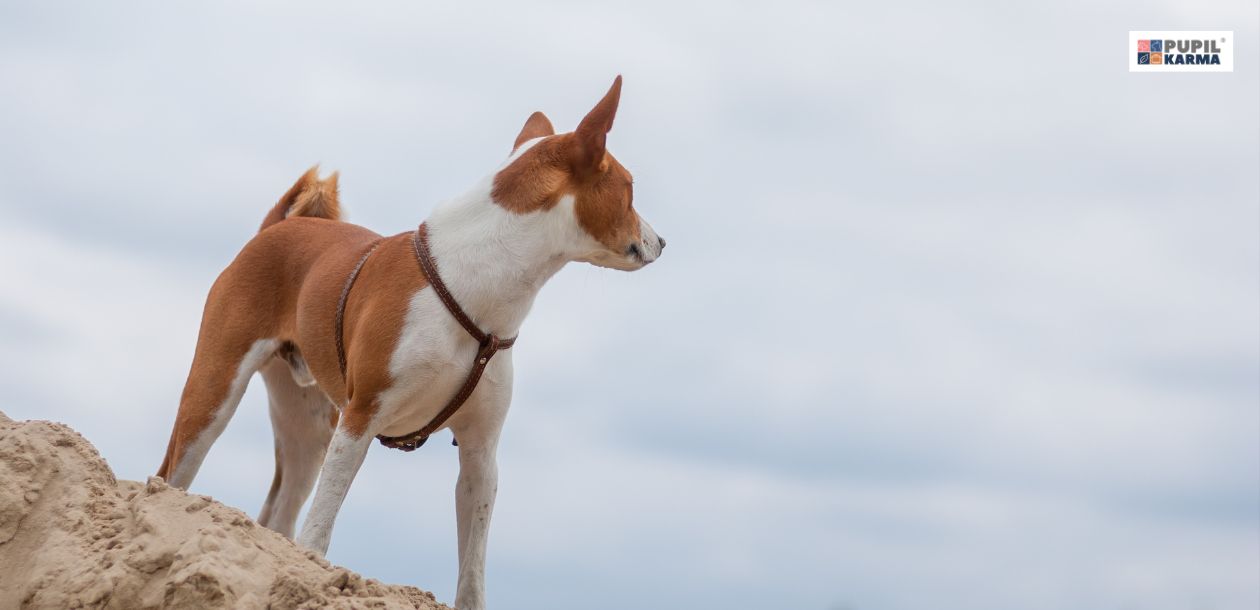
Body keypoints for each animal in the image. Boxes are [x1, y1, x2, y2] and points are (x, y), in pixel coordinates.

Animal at [154, 77, 660, 610]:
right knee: (172, 478)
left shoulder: (480, 452)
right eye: (631, 189)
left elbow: (472, 573)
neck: (477, 282)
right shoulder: (360, 420)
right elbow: (320, 529)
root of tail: (279, 226)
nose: (662, 241)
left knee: (276, 518)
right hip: (215, 395)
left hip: (308, 429)